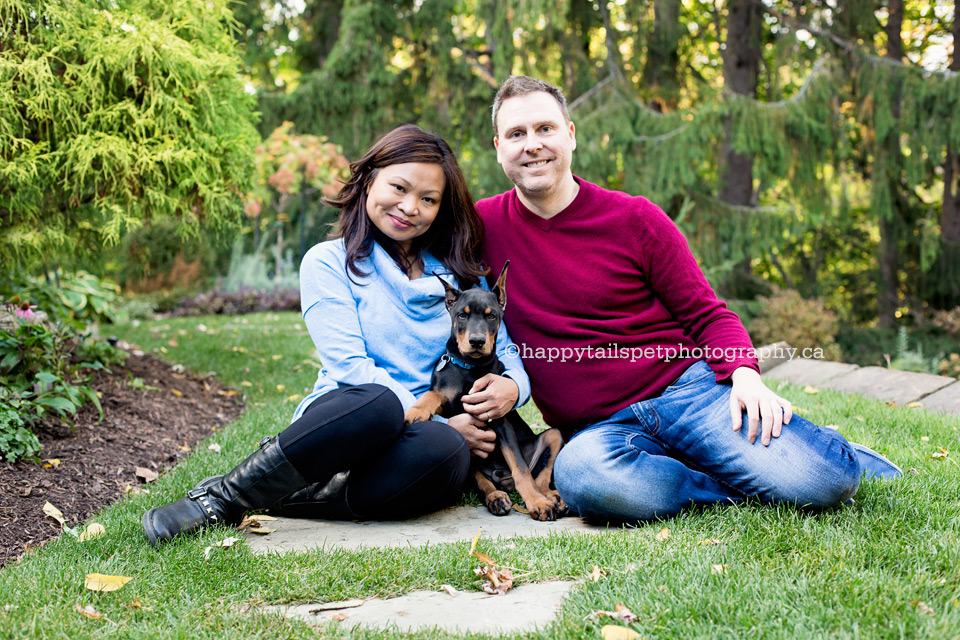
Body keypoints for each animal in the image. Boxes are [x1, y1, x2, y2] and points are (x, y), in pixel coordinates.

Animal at [402, 264, 568, 520]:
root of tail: (502, 479)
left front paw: (538, 503)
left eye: (491, 316)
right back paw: (496, 497)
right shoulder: (447, 398)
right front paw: (416, 411)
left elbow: (521, 469)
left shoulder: (500, 419)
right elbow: (433, 394)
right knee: (480, 480)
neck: (471, 367)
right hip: (469, 451)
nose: (477, 341)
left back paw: (551, 498)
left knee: (538, 476)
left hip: (554, 436)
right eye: (462, 315)